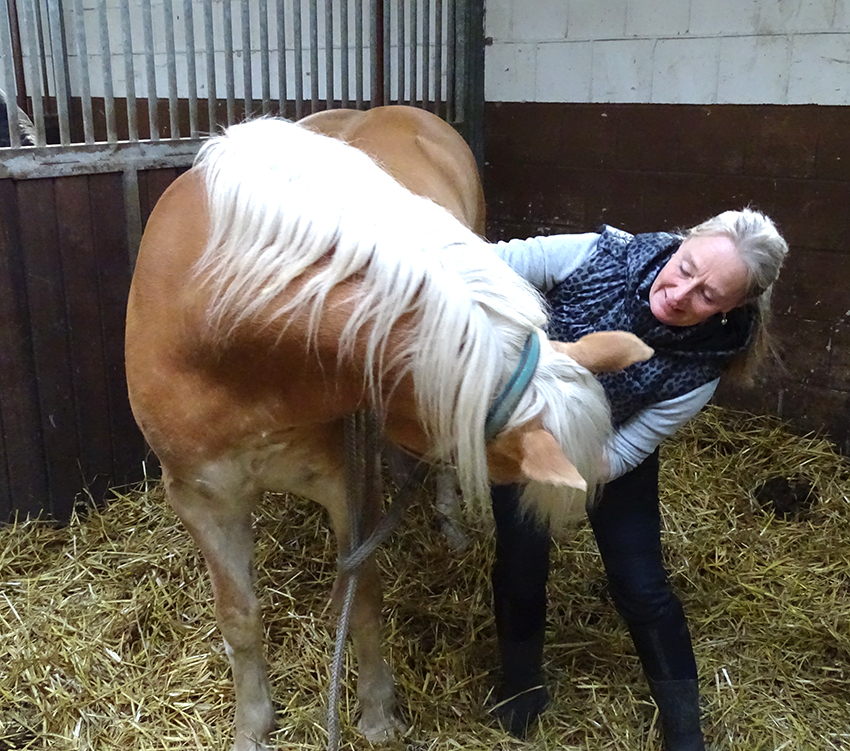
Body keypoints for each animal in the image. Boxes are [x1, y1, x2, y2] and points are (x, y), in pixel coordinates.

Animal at [125, 105, 652, 750]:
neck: (217, 324)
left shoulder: (346, 483)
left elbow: (362, 596)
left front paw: (377, 714)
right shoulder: (201, 497)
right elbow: (239, 618)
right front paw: (253, 726)